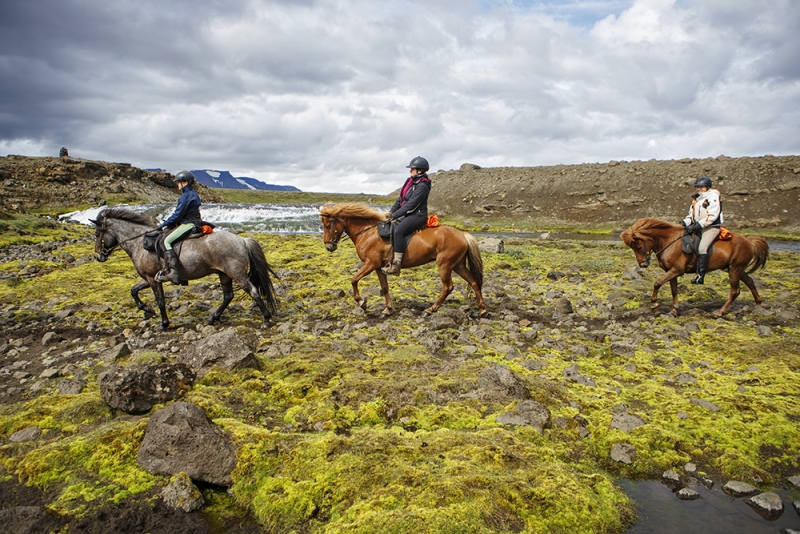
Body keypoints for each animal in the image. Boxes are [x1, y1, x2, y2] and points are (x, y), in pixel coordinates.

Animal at [90, 208, 276, 330]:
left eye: (98, 234)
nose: (98, 256)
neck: (139, 244)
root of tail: (242, 240)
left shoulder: (152, 279)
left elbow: (160, 301)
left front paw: (164, 324)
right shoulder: (148, 278)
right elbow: (133, 290)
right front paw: (147, 309)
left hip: (236, 273)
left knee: (252, 291)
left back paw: (267, 319)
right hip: (223, 274)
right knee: (228, 296)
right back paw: (213, 318)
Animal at [320, 204, 488, 314]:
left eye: (328, 225)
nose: (329, 247)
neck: (368, 233)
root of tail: (462, 234)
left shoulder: (370, 264)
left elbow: (354, 279)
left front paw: (362, 303)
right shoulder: (378, 267)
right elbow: (385, 287)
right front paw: (388, 309)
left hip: (445, 265)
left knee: (448, 287)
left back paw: (431, 309)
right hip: (458, 265)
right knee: (473, 281)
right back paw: (482, 309)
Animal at [620, 219, 764, 318]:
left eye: (638, 246)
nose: (643, 264)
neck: (670, 241)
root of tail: (748, 241)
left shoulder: (676, 270)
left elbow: (657, 283)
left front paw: (654, 305)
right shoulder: (671, 271)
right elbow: (674, 290)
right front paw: (675, 310)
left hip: (734, 269)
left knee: (735, 291)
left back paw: (720, 312)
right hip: (737, 269)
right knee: (750, 282)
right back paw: (758, 304)